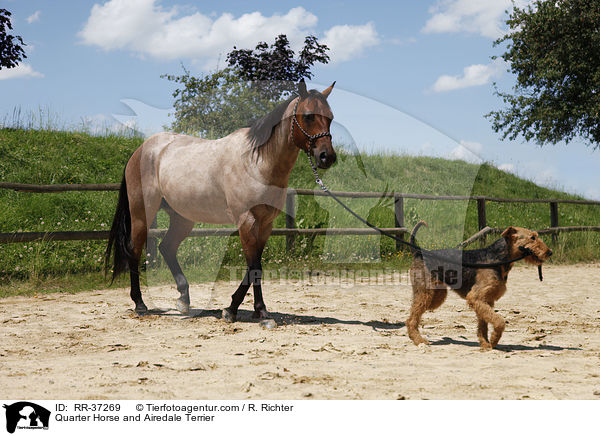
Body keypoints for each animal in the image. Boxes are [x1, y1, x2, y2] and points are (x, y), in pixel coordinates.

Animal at [105, 79, 336, 324]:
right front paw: (252, 311)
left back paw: (183, 300)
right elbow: (254, 266)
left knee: (166, 247)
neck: (257, 162)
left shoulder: (266, 224)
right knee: (135, 249)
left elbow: (254, 265)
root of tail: (141, 150)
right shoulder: (247, 221)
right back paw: (140, 304)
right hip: (142, 213)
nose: (327, 156)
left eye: (330, 117)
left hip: (182, 218)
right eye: (309, 116)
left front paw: (243, 309)